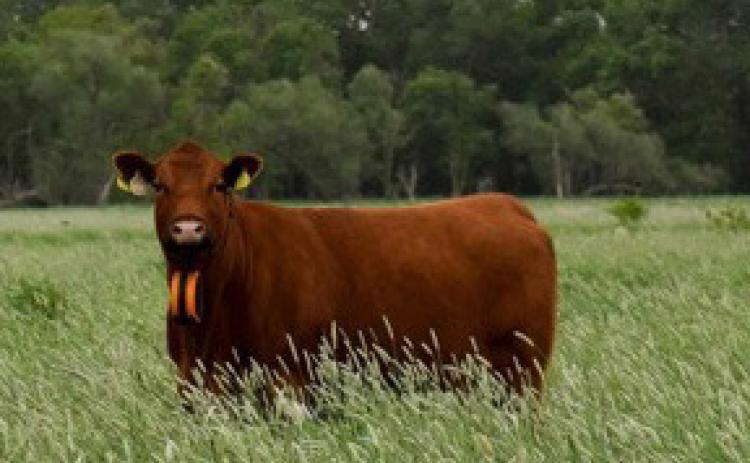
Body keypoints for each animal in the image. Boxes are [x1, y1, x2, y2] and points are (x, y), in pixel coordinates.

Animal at [113, 141, 557, 407]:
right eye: (160, 185)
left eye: (219, 185)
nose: (189, 229)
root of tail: (507, 205)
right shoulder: (194, 381)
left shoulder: (289, 380)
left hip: (522, 371)